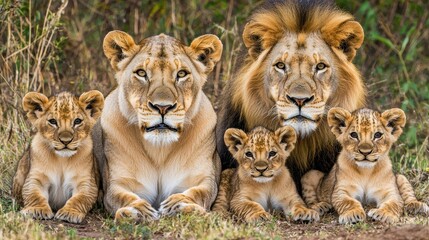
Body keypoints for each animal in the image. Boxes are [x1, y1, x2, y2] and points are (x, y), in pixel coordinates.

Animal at [93, 29, 221, 220]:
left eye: (181, 74)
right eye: (141, 73)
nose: (162, 107)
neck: (159, 149)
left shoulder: (204, 178)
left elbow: (200, 192)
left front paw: (181, 204)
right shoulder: (118, 182)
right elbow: (121, 196)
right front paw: (137, 210)